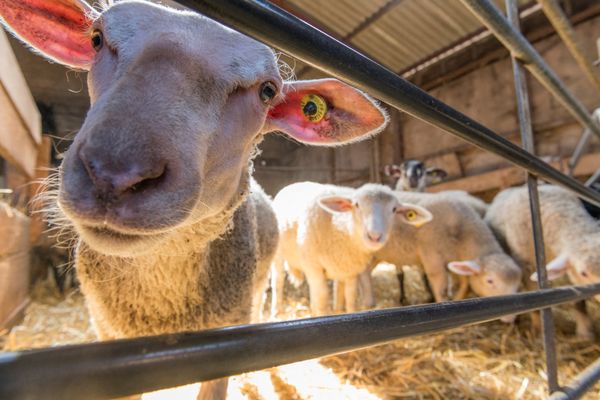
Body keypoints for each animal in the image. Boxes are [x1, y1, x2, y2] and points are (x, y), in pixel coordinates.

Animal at [0, 0, 390, 396]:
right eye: (96, 39)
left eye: (267, 91)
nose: (114, 175)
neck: (162, 301)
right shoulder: (108, 332)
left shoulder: (228, 337)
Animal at [270, 183, 432, 318]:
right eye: (357, 205)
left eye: (394, 209)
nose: (374, 236)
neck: (340, 226)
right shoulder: (313, 267)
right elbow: (322, 299)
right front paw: (320, 316)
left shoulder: (351, 271)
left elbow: (350, 299)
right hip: (279, 254)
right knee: (278, 280)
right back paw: (277, 311)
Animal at [358, 191, 524, 318]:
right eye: (490, 281)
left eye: (517, 284)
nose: (510, 318)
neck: (460, 231)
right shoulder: (432, 256)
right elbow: (439, 284)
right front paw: (442, 303)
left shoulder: (456, 259)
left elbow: (465, 283)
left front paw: (457, 298)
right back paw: (368, 303)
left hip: (376, 255)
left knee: (365, 273)